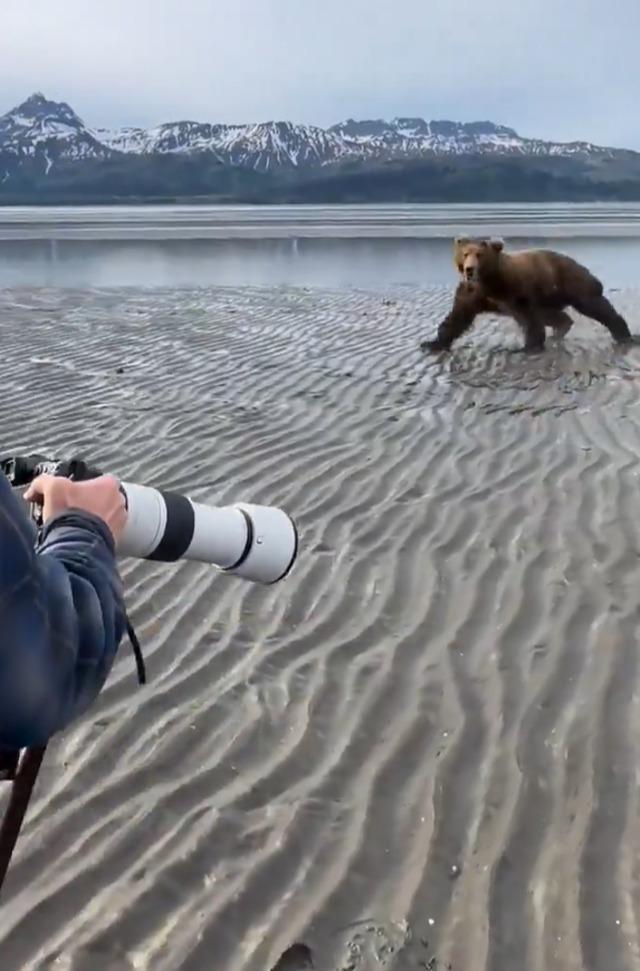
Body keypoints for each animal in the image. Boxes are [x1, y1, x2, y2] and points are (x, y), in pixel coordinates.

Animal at [420, 238, 636, 354]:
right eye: (465, 253)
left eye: (479, 254)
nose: (469, 269)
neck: (490, 282)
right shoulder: (472, 292)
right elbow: (457, 317)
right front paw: (432, 343)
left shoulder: (516, 290)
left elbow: (529, 318)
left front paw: (529, 346)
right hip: (550, 297)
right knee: (556, 316)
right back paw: (560, 330)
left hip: (574, 284)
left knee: (597, 307)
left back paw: (625, 336)